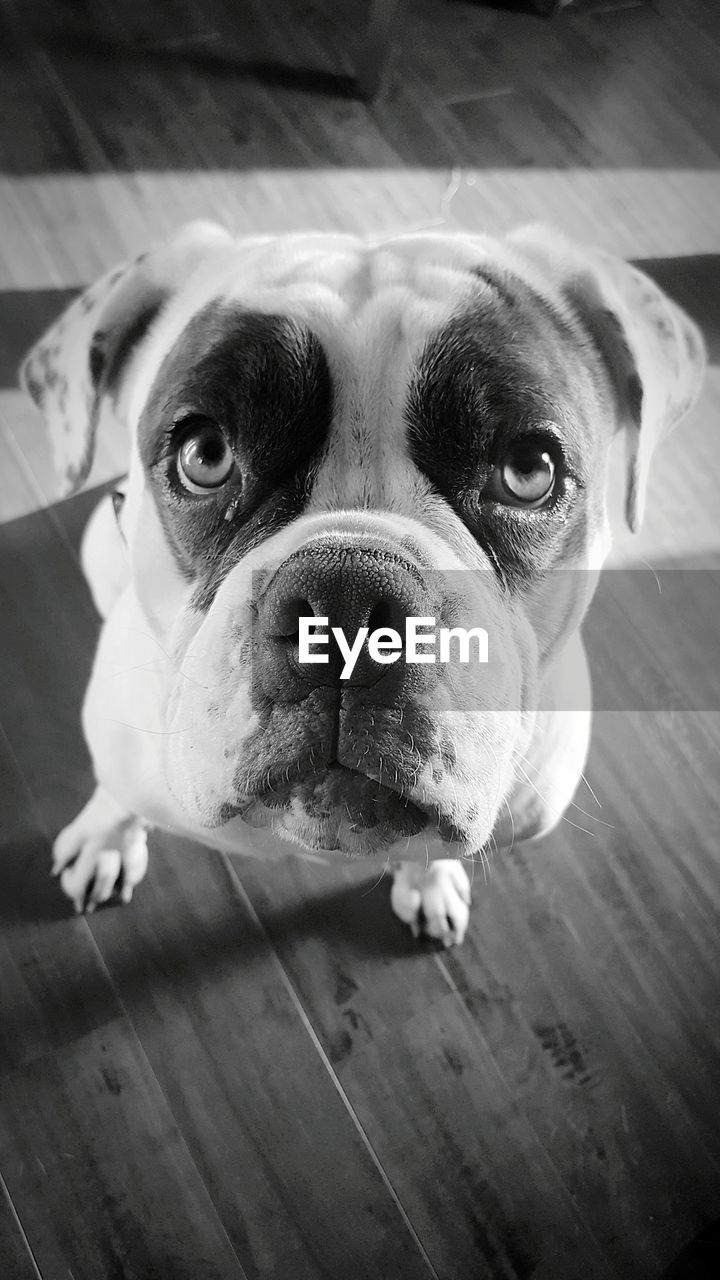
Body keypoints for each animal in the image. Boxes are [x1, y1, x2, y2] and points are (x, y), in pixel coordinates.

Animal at [20, 220, 702, 947]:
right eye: (204, 456)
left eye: (529, 470)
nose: (344, 603)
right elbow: (118, 793)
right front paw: (105, 836)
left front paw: (426, 883)